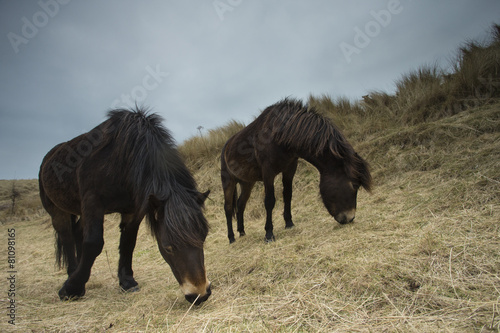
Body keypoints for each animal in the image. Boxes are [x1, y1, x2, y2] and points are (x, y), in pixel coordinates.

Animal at [39, 108, 211, 304]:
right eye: (168, 247)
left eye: (203, 237)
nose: (200, 294)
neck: (120, 160)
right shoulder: (93, 202)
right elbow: (93, 243)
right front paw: (72, 288)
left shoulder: (133, 210)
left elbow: (128, 243)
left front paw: (127, 281)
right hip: (58, 211)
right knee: (66, 236)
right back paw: (71, 274)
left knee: (76, 233)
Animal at [220, 97, 372, 243]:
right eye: (354, 185)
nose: (350, 218)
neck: (279, 135)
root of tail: (226, 147)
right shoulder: (268, 173)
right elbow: (269, 201)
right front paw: (269, 234)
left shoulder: (290, 168)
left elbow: (288, 195)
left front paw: (289, 223)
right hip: (228, 182)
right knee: (228, 208)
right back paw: (231, 238)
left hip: (247, 183)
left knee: (240, 204)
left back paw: (242, 232)